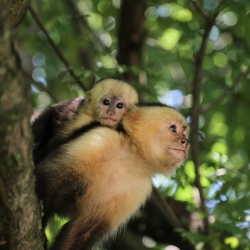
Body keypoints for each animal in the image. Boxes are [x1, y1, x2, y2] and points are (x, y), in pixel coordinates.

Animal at [33, 103, 189, 250]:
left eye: (185, 134)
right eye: (173, 129)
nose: (185, 142)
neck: (132, 157)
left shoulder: (140, 189)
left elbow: (82, 232)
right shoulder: (100, 139)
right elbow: (48, 182)